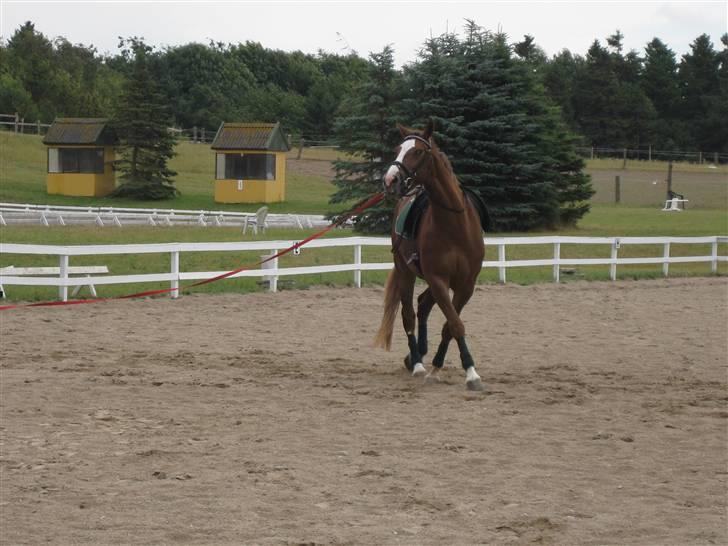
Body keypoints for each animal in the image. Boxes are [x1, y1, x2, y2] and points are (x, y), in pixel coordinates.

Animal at [372, 121, 486, 388]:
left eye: (417, 152)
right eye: (397, 149)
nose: (390, 180)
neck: (454, 225)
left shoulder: (466, 285)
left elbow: (450, 326)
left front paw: (449, 367)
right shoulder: (438, 280)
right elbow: (455, 323)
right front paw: (467, 371)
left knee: (423, 305)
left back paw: (420, 355)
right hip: (405, 272)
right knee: (409, 315)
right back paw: (416, 362)